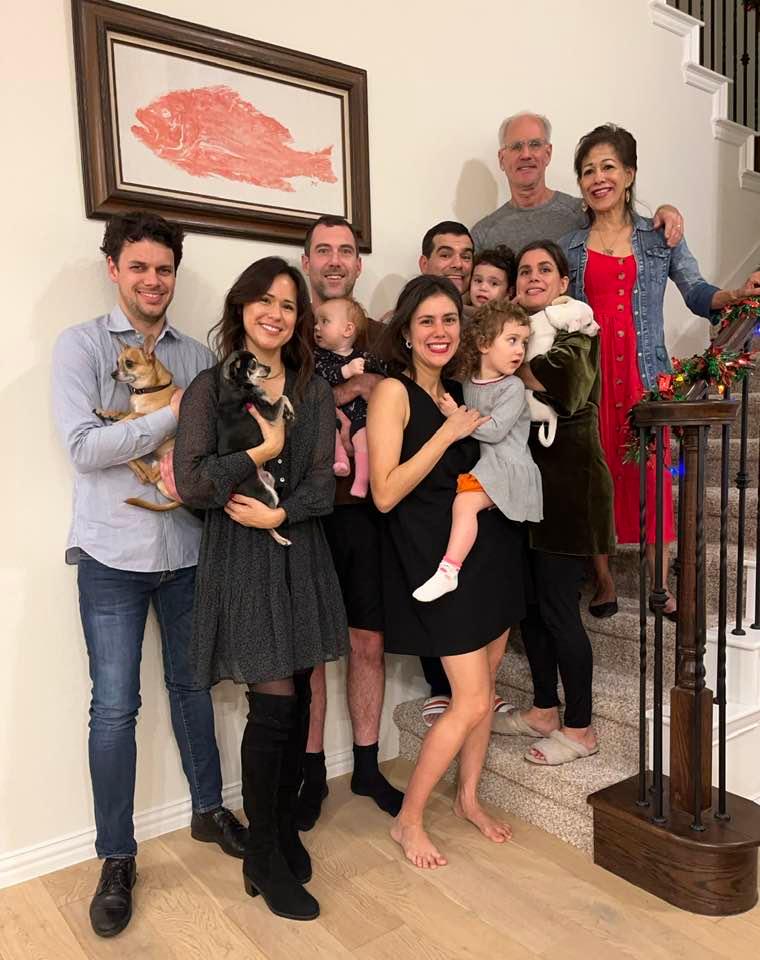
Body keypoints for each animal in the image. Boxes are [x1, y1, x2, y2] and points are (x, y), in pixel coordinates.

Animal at [95, 335, 182, 511]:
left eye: (129, 363)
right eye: (117, 363)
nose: (112, 374)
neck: (150, 389)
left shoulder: (146, 414)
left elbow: (132, 415)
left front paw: (115, 423)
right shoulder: (131, 409)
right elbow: (122, 412)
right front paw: (107, 412)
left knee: (149, 475)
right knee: (145, 476)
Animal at [218, 350, 295, 546]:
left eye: (259, 361)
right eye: (253, 364)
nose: (268, 367)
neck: (238, 386)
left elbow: (281, 398)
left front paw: (288, 413)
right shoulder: (268, 412)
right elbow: (283, 397)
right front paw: (290, 413)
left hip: (270, 479)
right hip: (268, 495)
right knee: (266, 524)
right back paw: (281, 539)